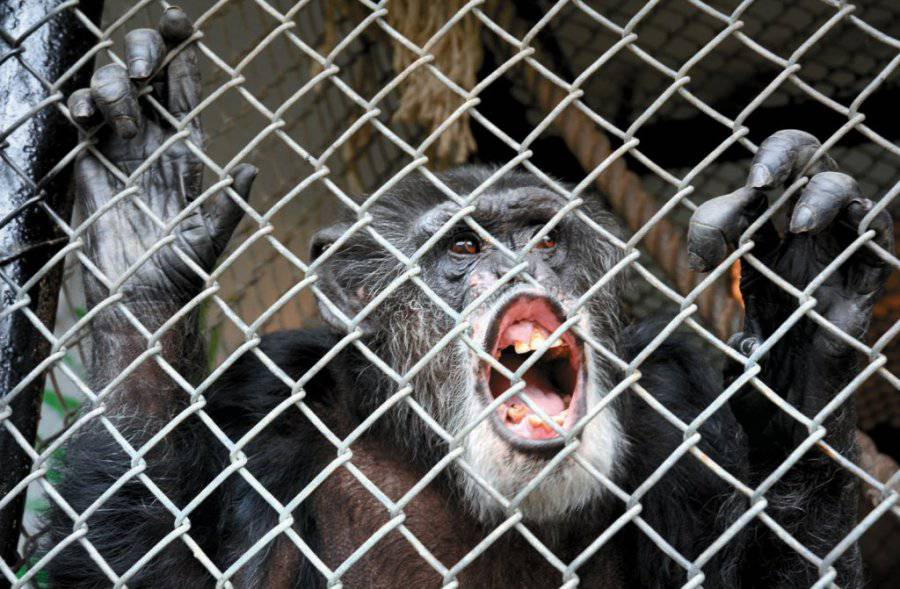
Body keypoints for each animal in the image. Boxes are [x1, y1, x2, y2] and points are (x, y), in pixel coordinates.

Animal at [42, 9, 892, 588]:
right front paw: (142, 231)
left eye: (543, 238)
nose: (519, 268)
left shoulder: (679, 392)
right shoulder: (264, 400)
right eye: (463, 249)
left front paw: (806, 302)